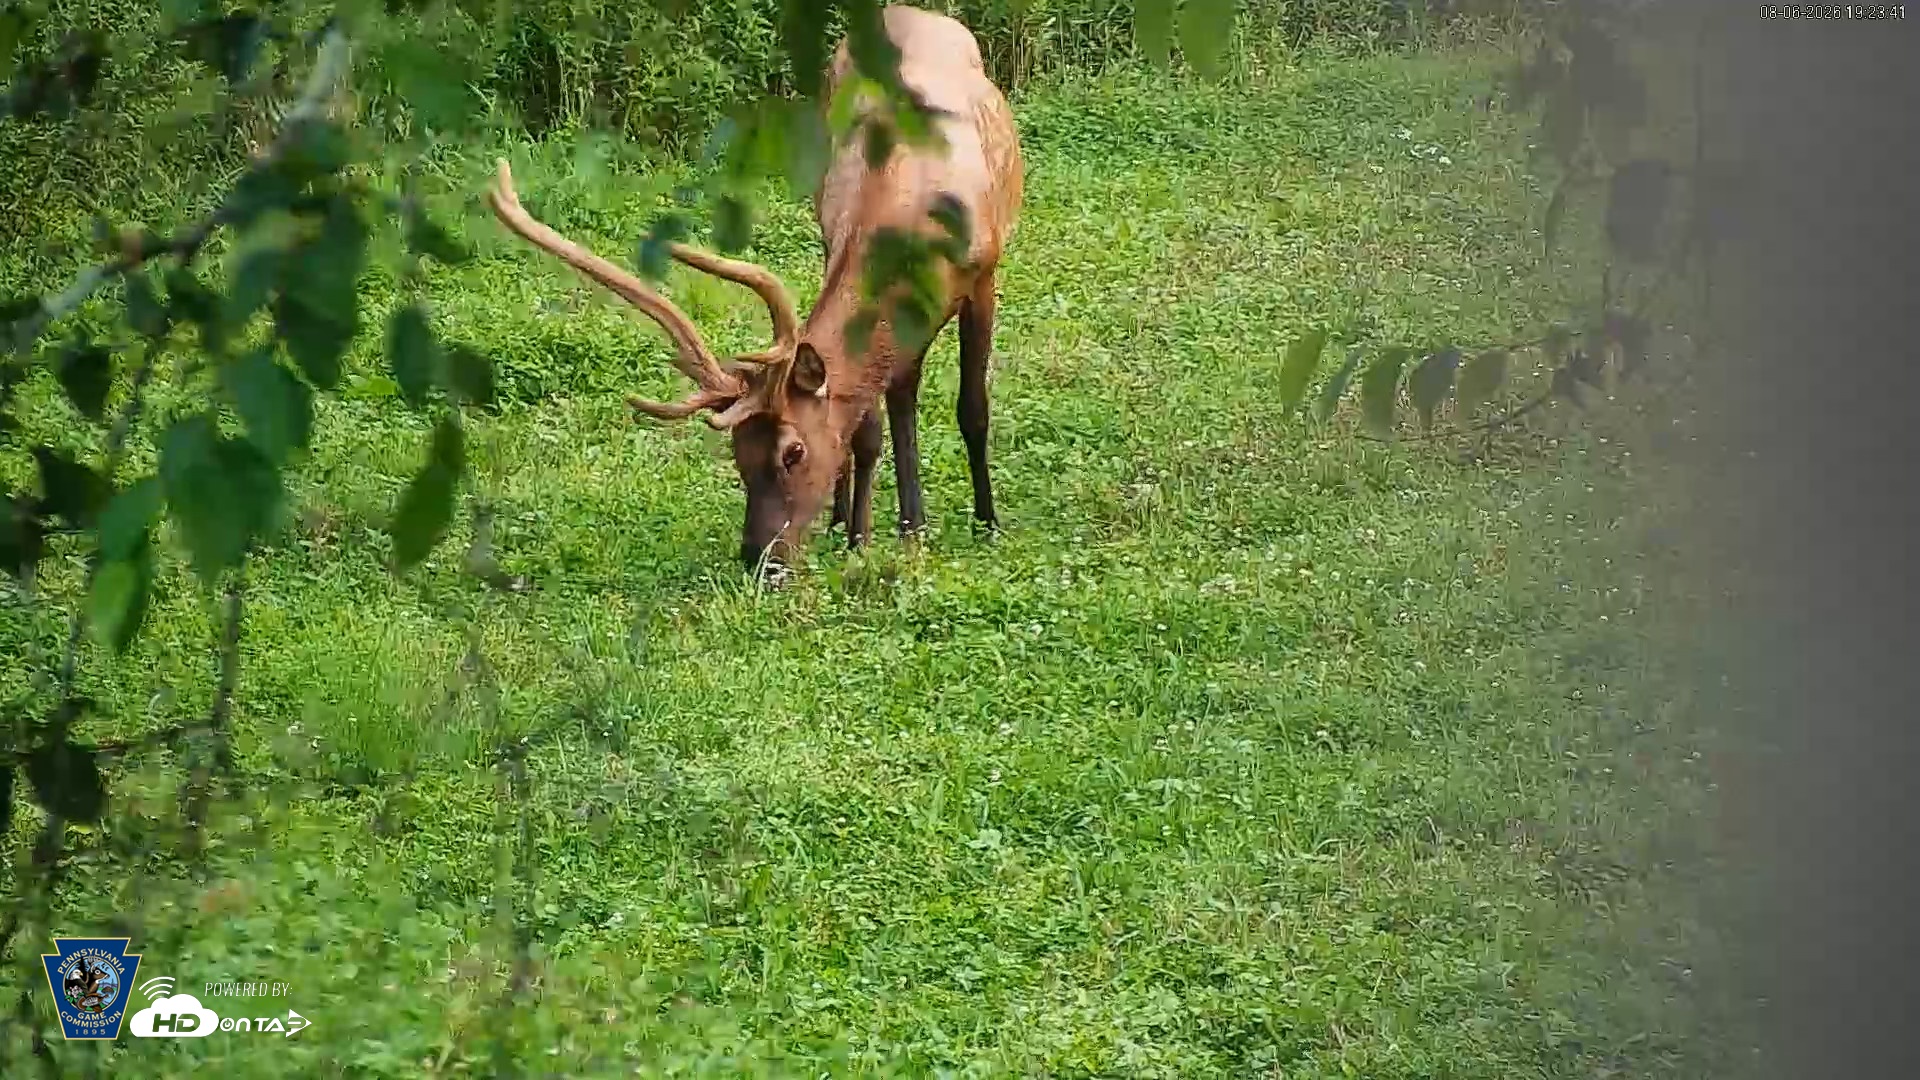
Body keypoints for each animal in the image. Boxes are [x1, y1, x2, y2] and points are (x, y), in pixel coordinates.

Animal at [486, 5, 1023, 573]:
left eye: (794, 452)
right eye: (738, 454)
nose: (760, 560)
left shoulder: (983, 272)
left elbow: (972, 408)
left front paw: (981, 523)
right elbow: (866, 424)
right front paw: (863, 535)